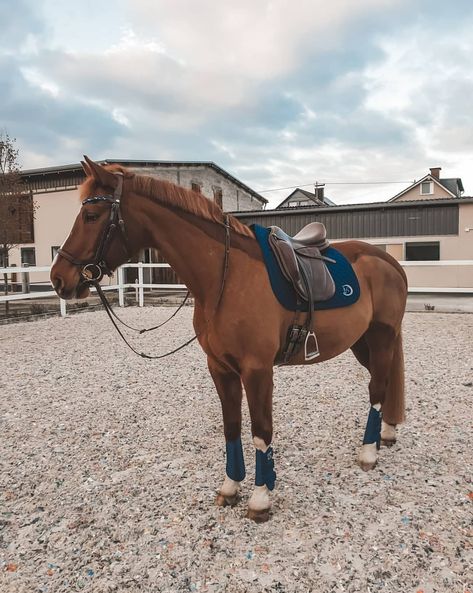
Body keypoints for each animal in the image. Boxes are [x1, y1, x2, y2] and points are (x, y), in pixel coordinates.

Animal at [50, 158, 406, 524]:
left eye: (91, 216)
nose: (59, 278)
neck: (226, 276)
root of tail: (389, 262)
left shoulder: (258, 370)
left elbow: (261, 431)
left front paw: (261, 499)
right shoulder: (220, 368)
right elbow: (232, 427)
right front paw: (231, 487)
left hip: (381, 338)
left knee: (377, 388)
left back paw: (368, 453)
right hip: (362, 343)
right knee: (385, 384)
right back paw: (387, 434)